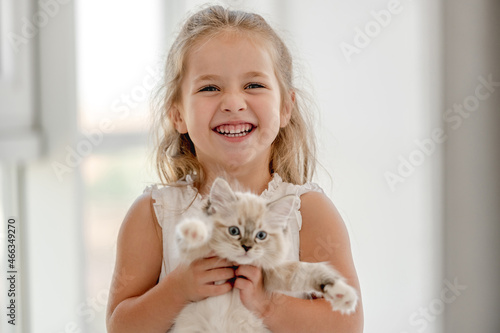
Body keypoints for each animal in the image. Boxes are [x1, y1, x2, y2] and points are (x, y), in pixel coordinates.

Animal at [171, 178, 356, 330]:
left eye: (261, 235)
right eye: (234, 231)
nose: (247, 247)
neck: (237, 267)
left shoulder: (270, 274)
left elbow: (307, 272)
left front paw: (342, 294)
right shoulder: (193, 255)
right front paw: (195, 230)